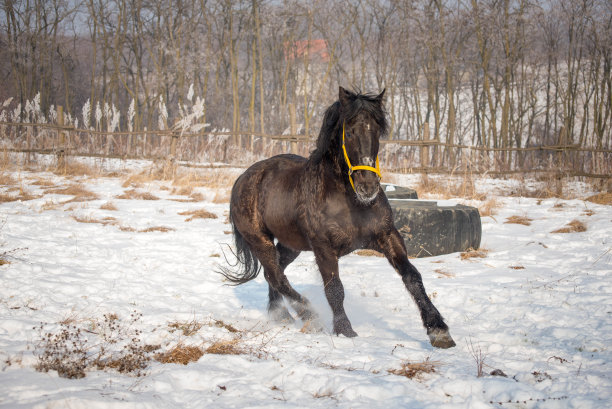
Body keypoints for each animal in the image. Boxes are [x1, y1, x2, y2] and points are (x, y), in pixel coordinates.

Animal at [220, 87, 454, 348]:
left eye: (377, 131)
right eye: (349, 132)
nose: (367, 186)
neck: (350, 201)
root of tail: (243, 179)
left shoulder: (387, 236)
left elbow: (412, 277)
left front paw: (439, 330)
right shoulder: (323, 247)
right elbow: (335, 289)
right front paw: (345, 330)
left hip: (291, 245)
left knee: (276, 272)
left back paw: (281, 314)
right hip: (260, 240)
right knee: (275, 275)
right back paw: (307, 314)